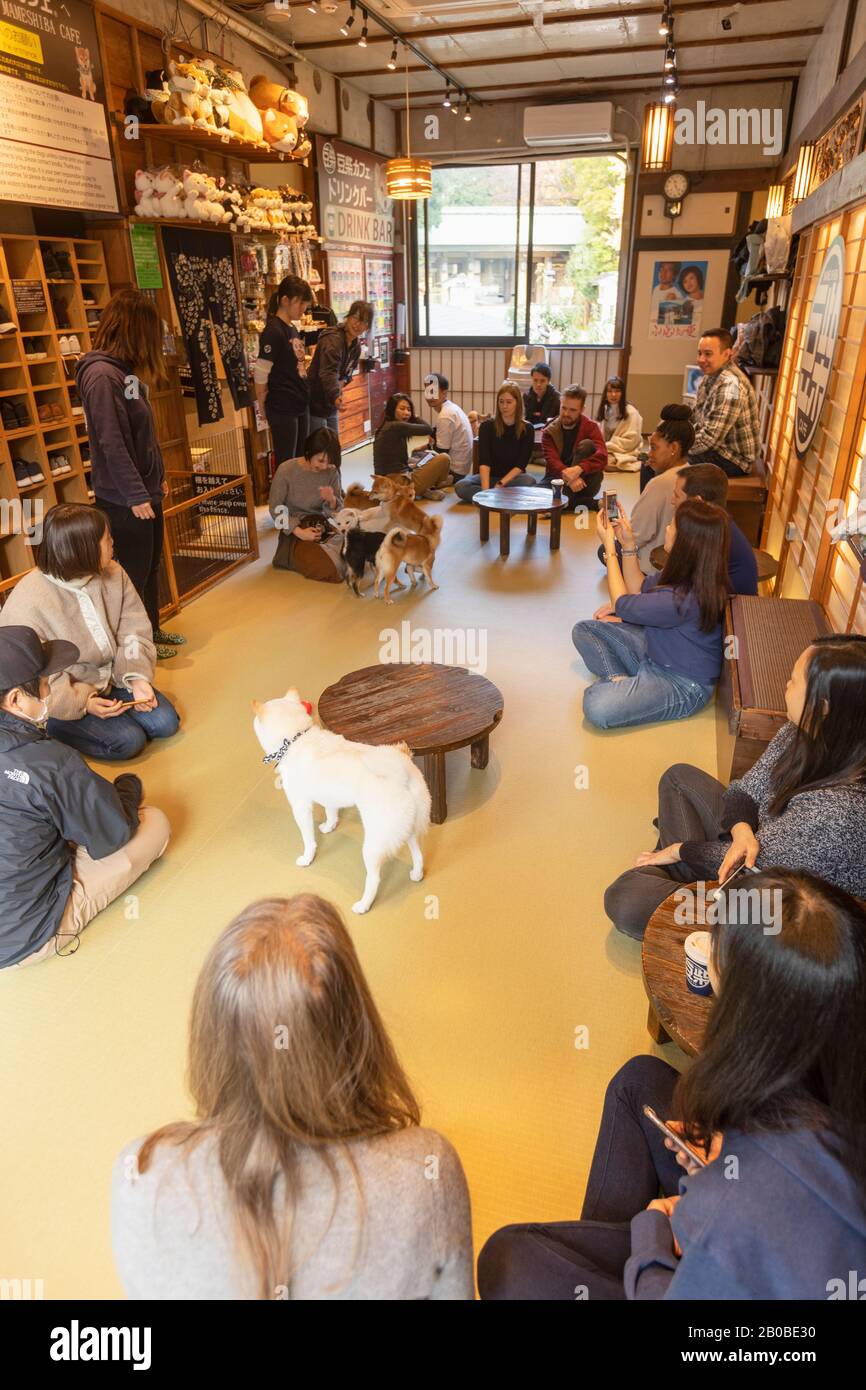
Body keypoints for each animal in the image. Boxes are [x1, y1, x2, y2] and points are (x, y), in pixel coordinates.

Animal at [252, 686, 430, 911]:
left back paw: (363, 905)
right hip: (409, 826)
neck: (294, 739)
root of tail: (401, 772)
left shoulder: (300, 807)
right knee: (418, 853)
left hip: (373, 844)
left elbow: (308, 840)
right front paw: (329, 827)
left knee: (374, 878)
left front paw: (307, 858)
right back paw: (417, 873)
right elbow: (331, 813)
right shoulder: (330, 797)